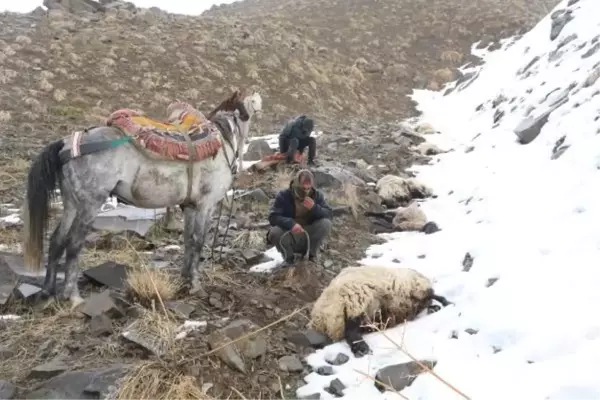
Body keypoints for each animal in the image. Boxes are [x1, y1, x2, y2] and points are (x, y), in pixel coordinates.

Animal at [310, 266, 450, 356]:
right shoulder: (415, 288)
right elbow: (432, 295)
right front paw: (446, 303)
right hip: (357, 299)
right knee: (350, 330)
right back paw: (362, 349)